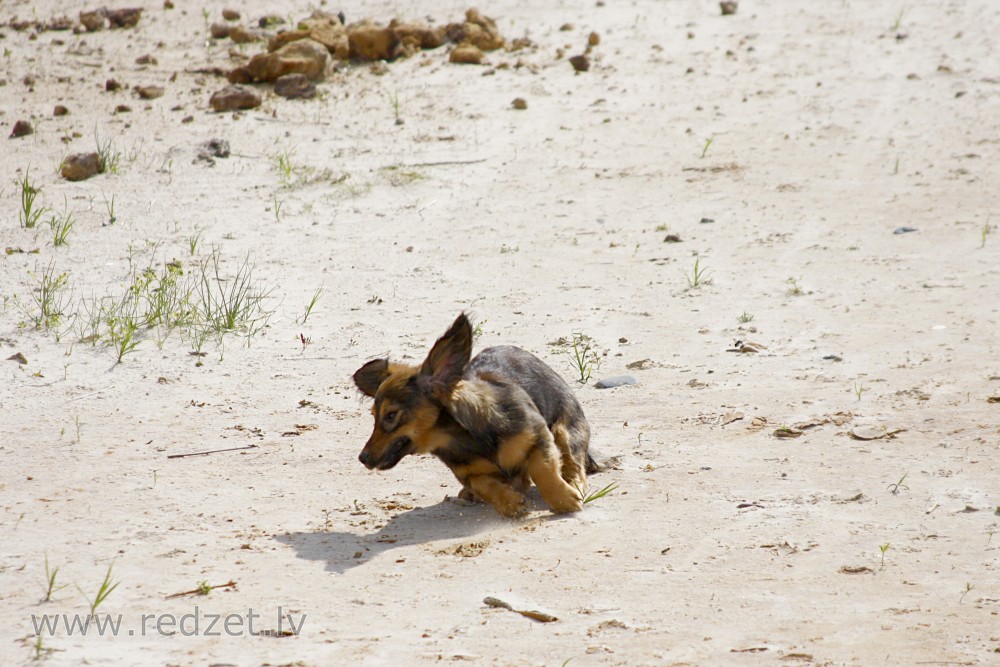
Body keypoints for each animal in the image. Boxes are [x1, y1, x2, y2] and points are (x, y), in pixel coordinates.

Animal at [356, 314, 596, 516]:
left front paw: (563, 499)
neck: (466, 437)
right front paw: (509, 502)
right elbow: (486, 485)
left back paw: (573, 486)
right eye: (374, 416)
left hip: (565, 432)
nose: (362, 458)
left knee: (573, 464)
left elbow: (543, 470)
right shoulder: (468, 474)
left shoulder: (539, 437)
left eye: (390, 416)